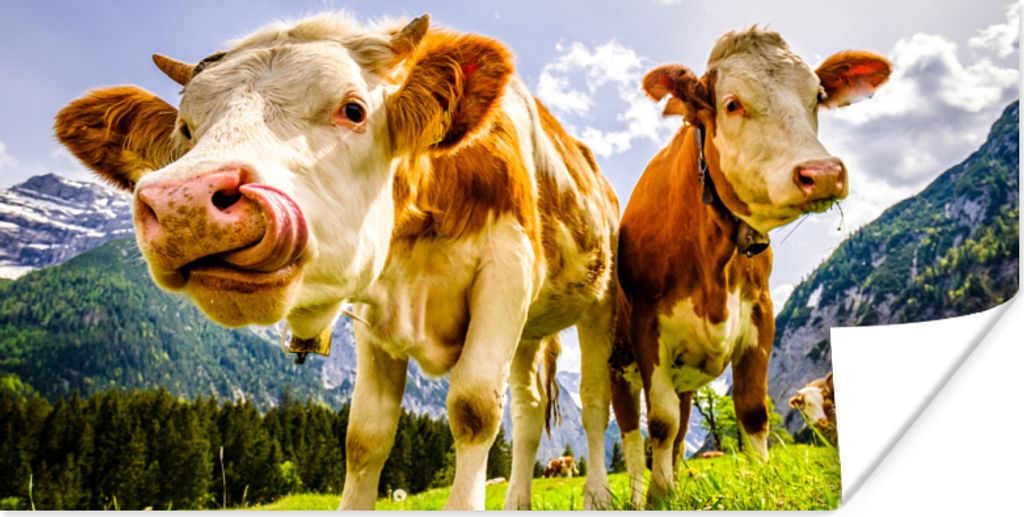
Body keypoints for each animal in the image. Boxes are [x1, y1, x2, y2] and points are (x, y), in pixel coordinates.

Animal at [53, 13, 620, 511]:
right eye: (185, 129)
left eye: (353, 110)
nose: (184, 203)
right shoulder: (375, 309)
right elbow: (365, 435)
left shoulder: (507, 270)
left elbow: (474, 408)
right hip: (530, 333)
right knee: (528, 412)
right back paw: (518, 501)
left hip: (601, 305)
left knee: (595, 401)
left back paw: (602, 495)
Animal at [608, 27, 890, 507]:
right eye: (731, 104)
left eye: (817, 96)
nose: (823, 172)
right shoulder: (648, 327)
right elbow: (660, 421)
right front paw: (661, 498)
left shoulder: (761, 314)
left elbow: (753, 411)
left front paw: (760, 479)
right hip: (615, 364)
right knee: (631, 433)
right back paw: (639, 495)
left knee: (681, 430)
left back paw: (674, 481)